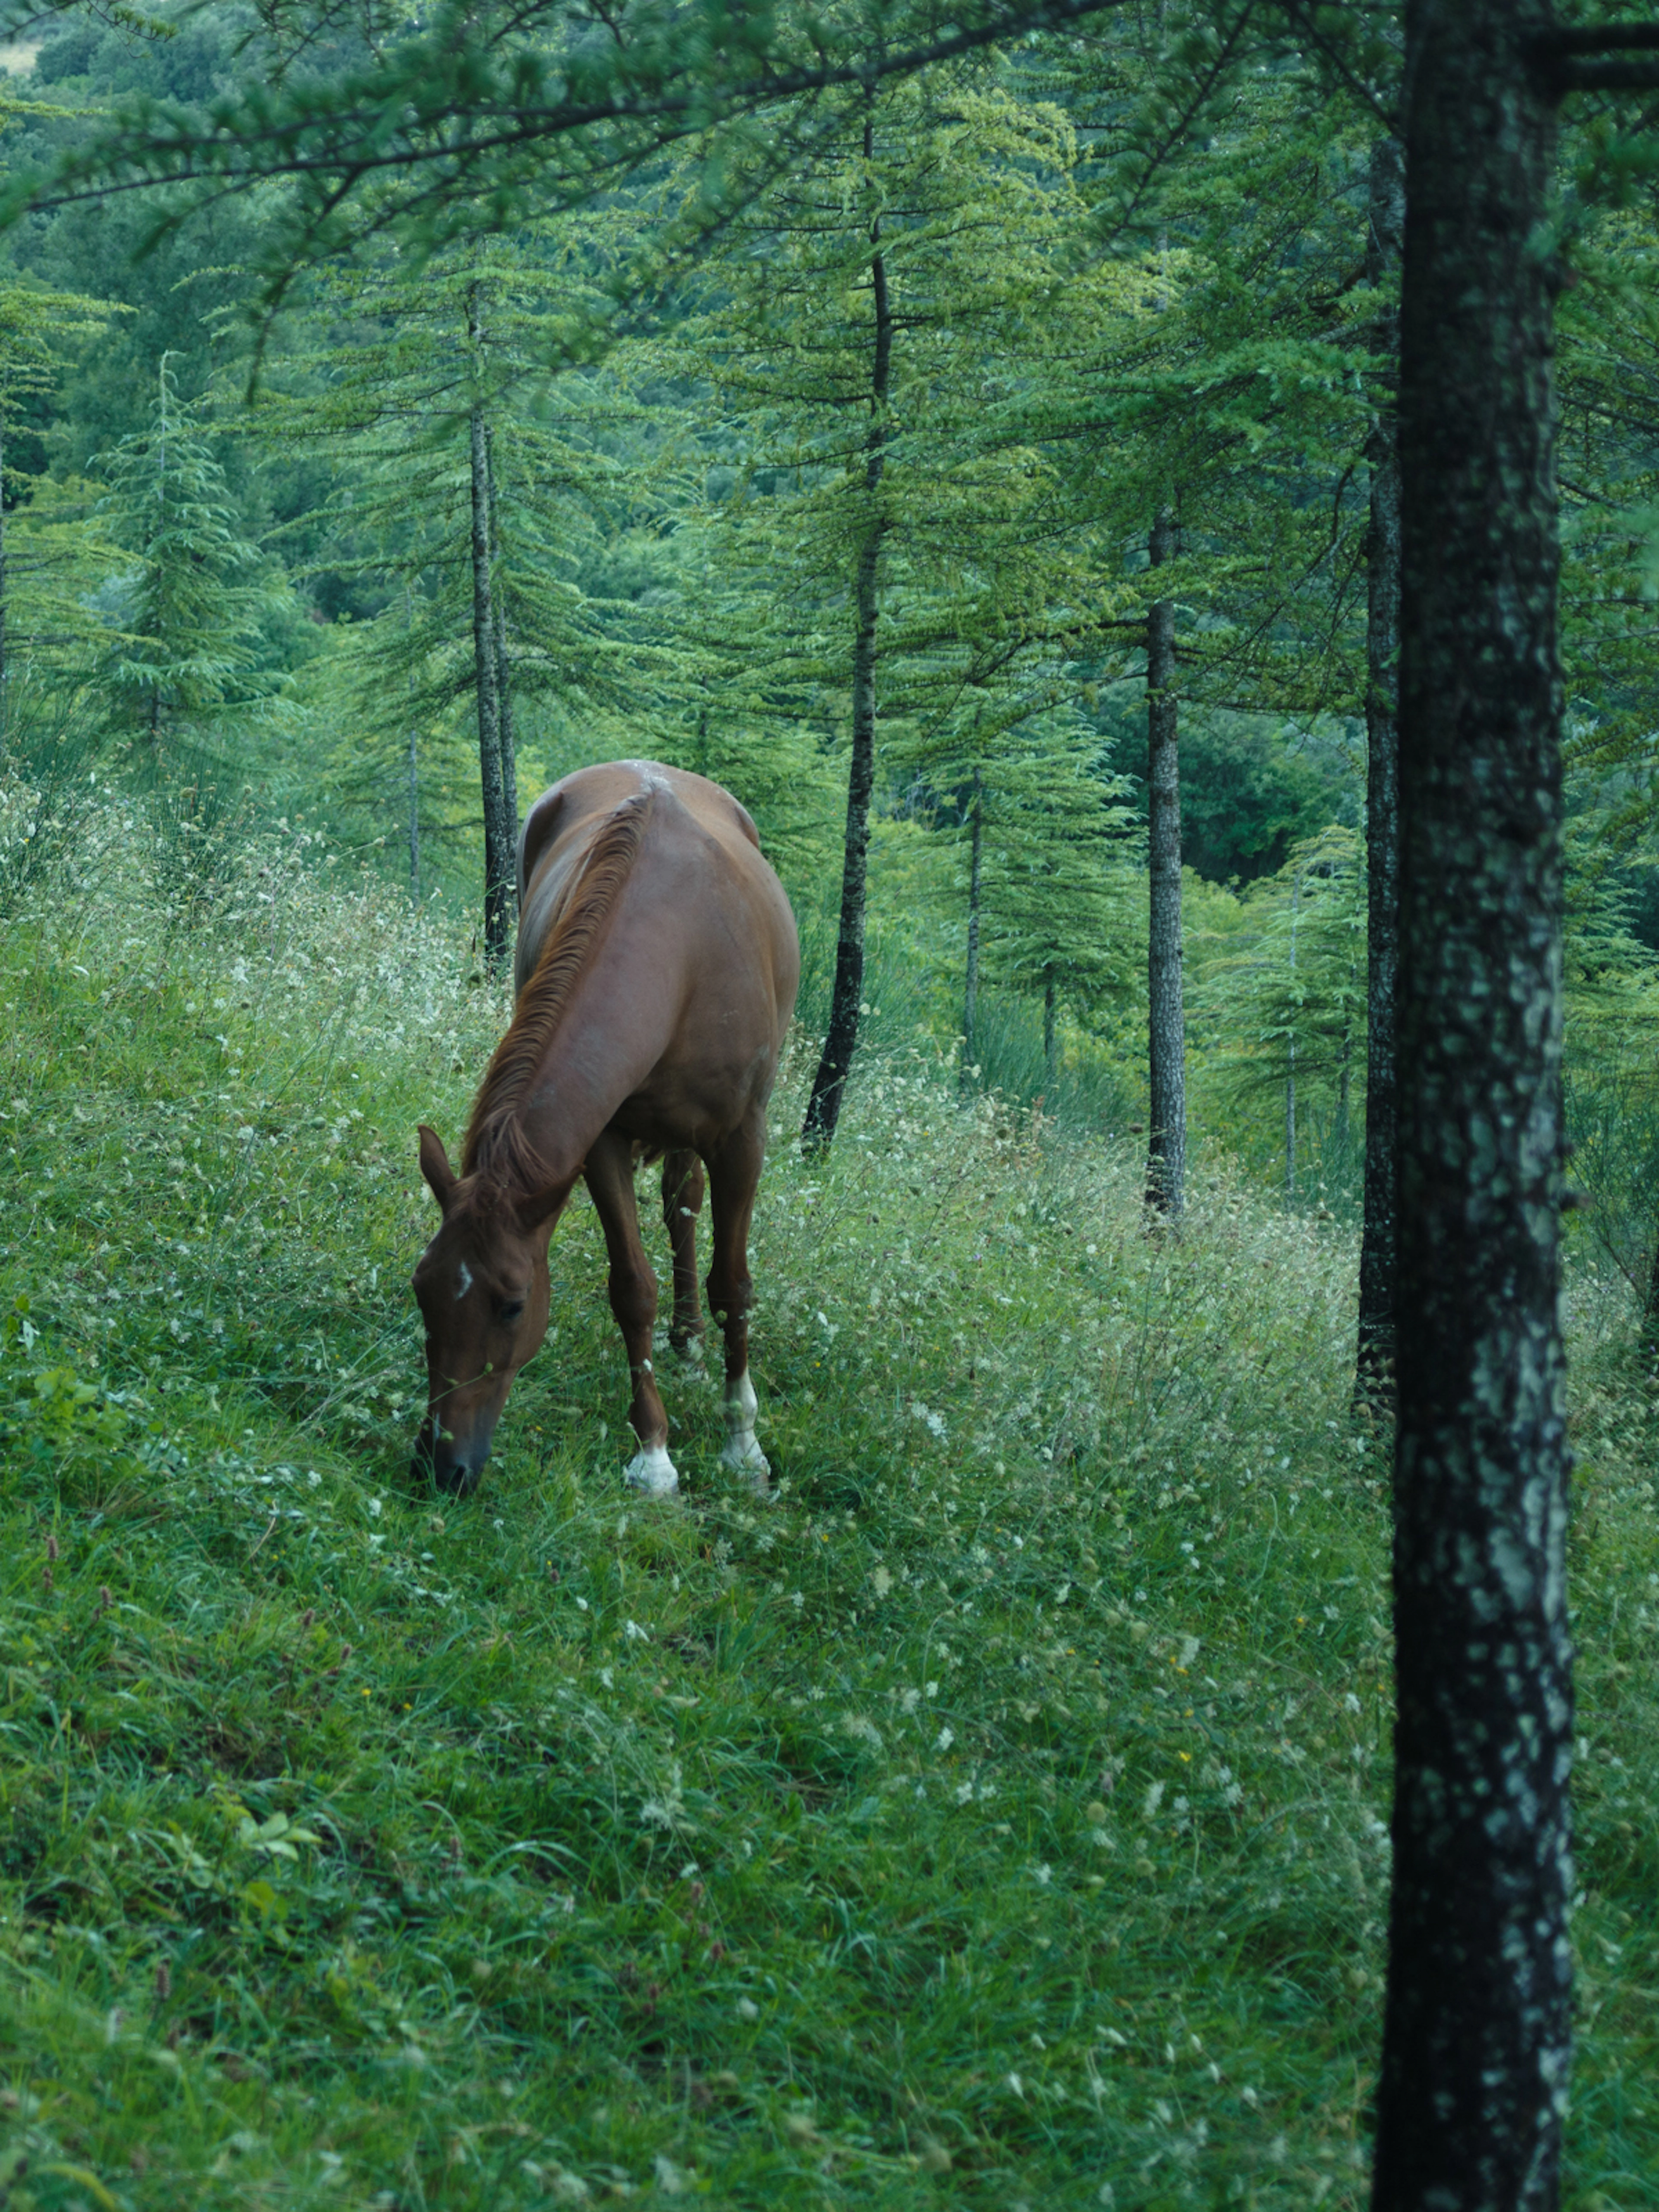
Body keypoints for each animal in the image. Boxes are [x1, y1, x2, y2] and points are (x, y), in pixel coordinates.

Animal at [410, 760, 800, 1499]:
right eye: (422, 1289)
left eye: (512, 1304)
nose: (442, 1466)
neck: (679, 954)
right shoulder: (602, 1142)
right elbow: (632, 1291)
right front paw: (654, 1452)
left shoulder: (744, 1140)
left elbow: (734, 1285)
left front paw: (742, 1442)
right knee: (681, 1205)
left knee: (688, 1207)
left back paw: (696, 1346)